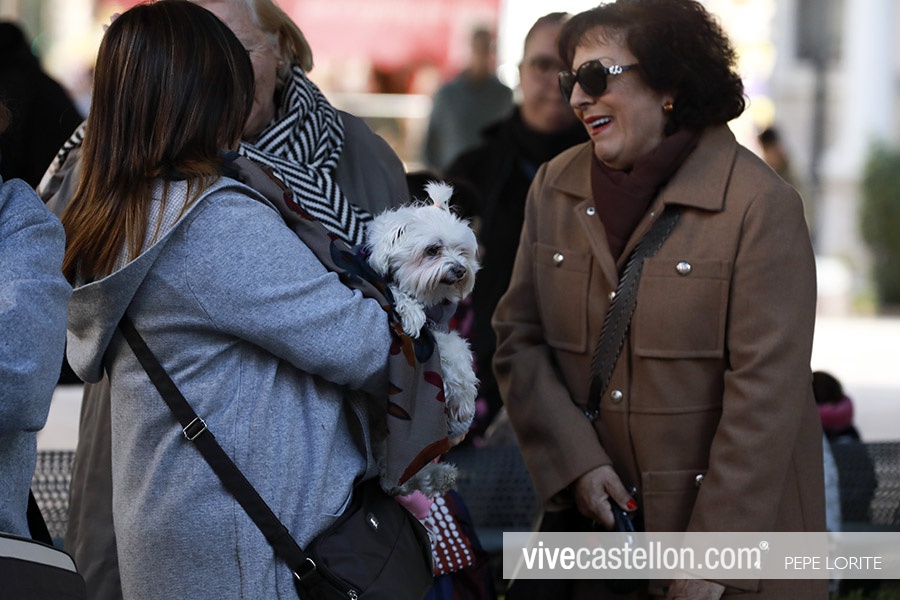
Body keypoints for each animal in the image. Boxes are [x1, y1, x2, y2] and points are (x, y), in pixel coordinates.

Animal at [366, 181, 480, 498]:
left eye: (462, 252)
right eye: (433, 249)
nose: (460, 270)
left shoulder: (443, 327)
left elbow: (457, 350)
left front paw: (463, 399)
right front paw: (411, 312)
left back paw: (440, 475)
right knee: (393, 478)